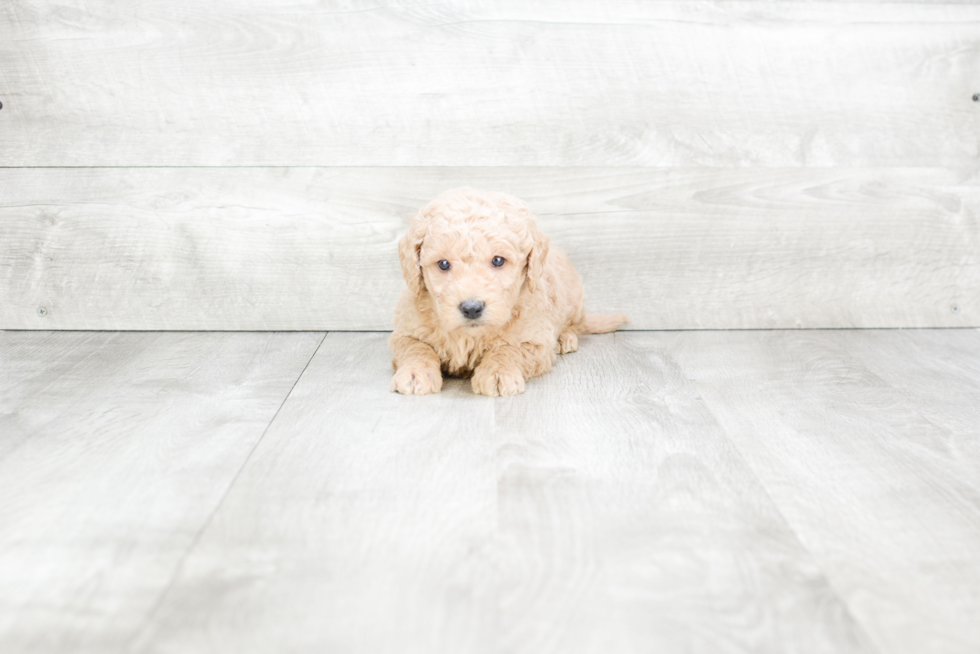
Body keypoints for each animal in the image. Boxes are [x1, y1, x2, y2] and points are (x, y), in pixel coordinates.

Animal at [390, 187, 628, 398]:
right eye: (443, 264)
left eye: (498, 260)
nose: (471, 308)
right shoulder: (405, 331)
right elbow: (416, 348)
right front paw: (415, 372)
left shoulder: (534, 339)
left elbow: (508, 349)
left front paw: (497, 373)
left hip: (573, 298)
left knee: (575, 324)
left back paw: (565, 338)